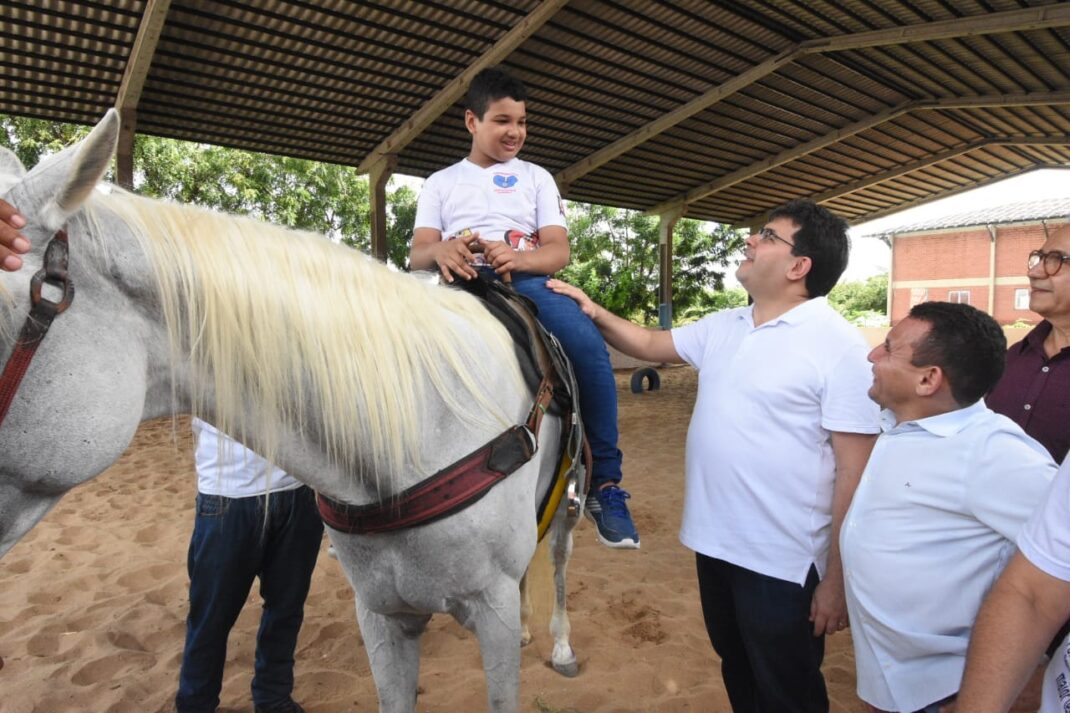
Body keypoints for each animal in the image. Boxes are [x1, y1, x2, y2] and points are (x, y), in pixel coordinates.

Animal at [0, 111, 582, 710]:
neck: (416, 436)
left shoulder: (490, 611)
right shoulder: (384, 616)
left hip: (570, 497)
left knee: (558, 558)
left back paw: (560, 644)